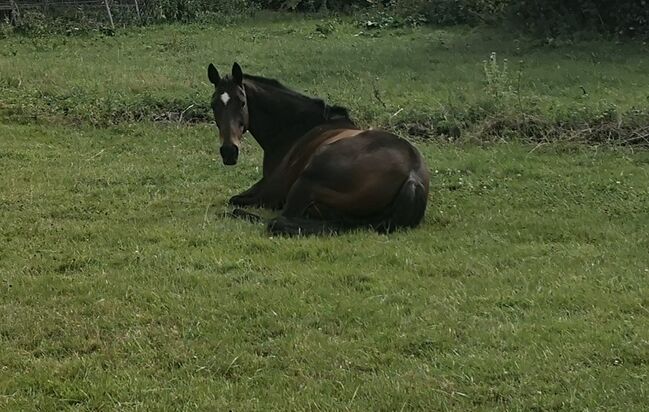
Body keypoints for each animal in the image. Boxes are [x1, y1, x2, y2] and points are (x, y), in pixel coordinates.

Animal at [208, 61, 430, 235]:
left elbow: (235, 200)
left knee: (277, 221)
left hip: (305, 182)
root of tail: (413, 177)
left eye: (242, 102)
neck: (296, 129)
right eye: (213, 105)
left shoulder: (270, 193)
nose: (229, 151)